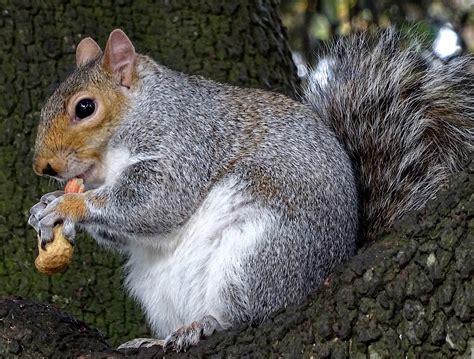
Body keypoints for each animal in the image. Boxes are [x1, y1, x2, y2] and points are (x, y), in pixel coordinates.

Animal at [27, 28, 472, 352]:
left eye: (85, 107)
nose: (42, 167)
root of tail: (334, 262)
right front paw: (46, 207)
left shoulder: (186, 146)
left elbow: (155, 203)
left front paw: (67, 205)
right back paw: (156, 338)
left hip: (259, 253)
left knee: (248, 310)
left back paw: (204, 325)